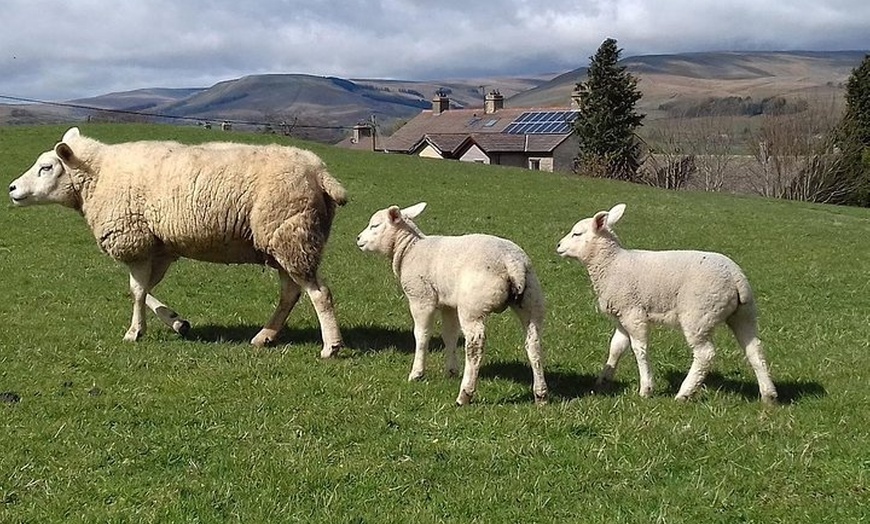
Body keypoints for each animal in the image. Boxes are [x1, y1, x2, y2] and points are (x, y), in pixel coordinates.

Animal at [8, 127, 348, 358]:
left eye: (47, 168)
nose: (11, 188)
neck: (100, 175)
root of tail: (320, 171)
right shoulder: (158, 246)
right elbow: (145, 290)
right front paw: (175, 321)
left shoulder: (135, 240)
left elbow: (136, 291)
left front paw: (134, 332)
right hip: (282, 239)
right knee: (290, 293)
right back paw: (265, 336)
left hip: (291, 234)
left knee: (320, 294)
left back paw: (331, 346)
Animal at [356, 202, 548, 406]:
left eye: (375, 226)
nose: (358, 238)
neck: (409, 249)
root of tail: (513, 264)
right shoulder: (448, 305)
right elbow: (449, 336)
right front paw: (451, 371)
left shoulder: (421, 299)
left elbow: (422, 335)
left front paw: (417, 373)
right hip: (531, 300)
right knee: (533, 342)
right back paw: (541, 394)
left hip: (473, 307)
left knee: (475, 345)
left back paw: (465, 394)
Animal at [556, 204, 780, 402]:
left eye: (577, 234)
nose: (558, 246)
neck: (612, 264)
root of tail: (735, 277)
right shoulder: (621, 317)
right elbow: (616, 348)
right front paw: (603, 380)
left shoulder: (633, 312)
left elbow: (640, 349)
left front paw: (646, 388)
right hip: (743, 314)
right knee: (754, 350)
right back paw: (768, 395)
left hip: (698, 315)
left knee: (705, 354)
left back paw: (684, 393)